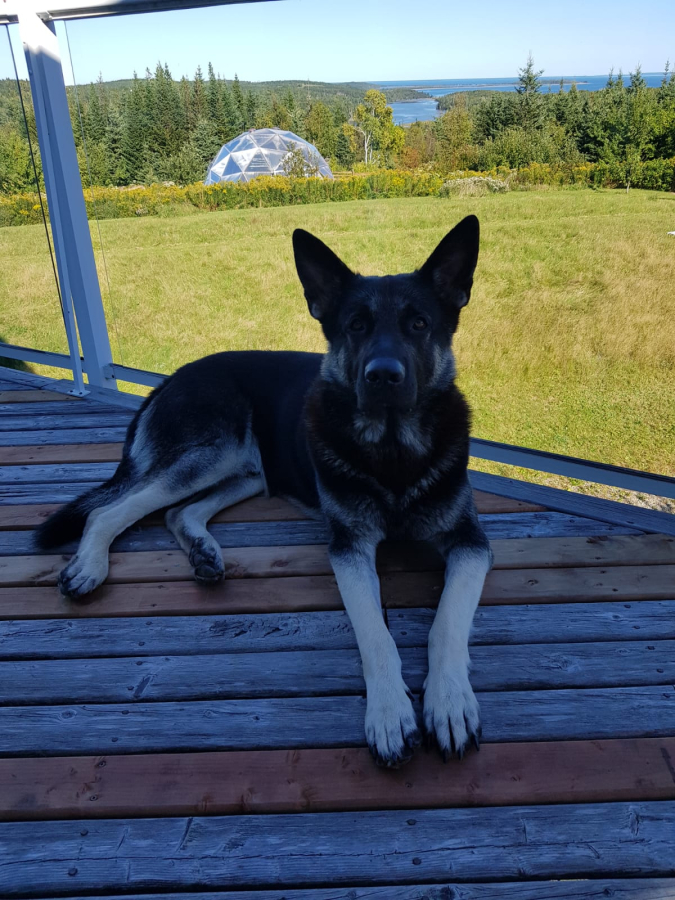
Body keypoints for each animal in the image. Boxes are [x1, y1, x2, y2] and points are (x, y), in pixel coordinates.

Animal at [36, 215, 492, 767]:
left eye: (419, 324)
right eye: (356, 326)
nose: (382, 376)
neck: (391, 455)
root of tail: (170, 378)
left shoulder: (469, 543)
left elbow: (446, 622)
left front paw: (449, 702)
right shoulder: (348, 549)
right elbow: (375, 635)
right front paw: (388, 712)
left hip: (245, 471)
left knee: (177, 513)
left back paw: (204, 552)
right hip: (210, 454)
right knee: (111, 511)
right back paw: (91, 565)